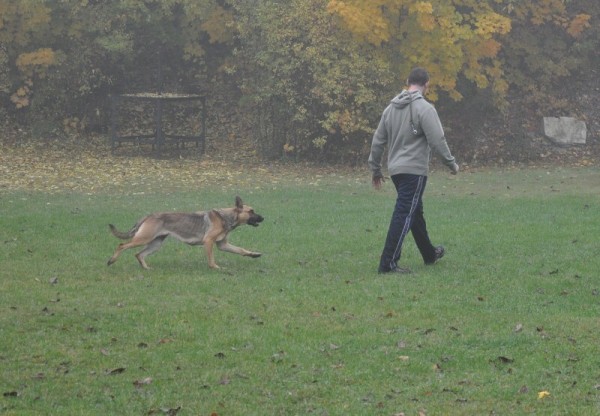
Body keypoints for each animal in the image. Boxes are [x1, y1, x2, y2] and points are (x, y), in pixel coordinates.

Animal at [106, 197, 264, 270]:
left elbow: (241, 250)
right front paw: (215, 267)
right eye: (251, 211)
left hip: (155, 244)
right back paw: (111, 260)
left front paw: (253, 254)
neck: (226, 217)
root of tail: (148, 216)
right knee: (121, 245)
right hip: (143, 239)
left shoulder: (223, 245)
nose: (263, 218)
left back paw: (146, 268)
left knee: (139, 254)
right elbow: (211, 259)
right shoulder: (209, 242)